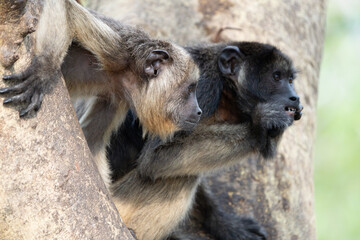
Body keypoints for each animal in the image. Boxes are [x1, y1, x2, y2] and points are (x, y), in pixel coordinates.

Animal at [0, 0, 201, 188]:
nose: (199, 111)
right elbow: (67, 9)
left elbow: (92, 143)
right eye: (190, 89)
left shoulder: (117, 99)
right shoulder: (119, 52)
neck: (128, 74)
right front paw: (43, 68)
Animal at [108, 42, 302, 239]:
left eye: (290, 80)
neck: (227, 95)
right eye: (276, 76)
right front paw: (260, 126)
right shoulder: (201, 86)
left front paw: (224, 224)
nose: (295, 97)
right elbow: (157, 157)